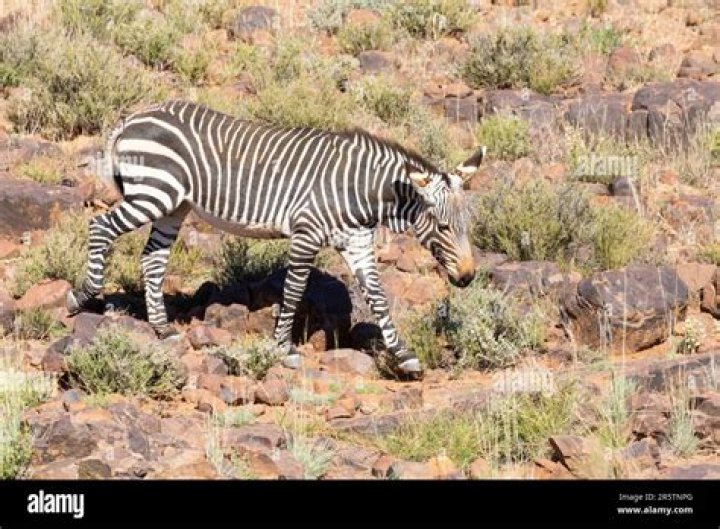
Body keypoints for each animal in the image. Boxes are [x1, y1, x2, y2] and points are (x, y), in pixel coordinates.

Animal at [67, 101, 483, 377]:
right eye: (443, 227)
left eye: (467, 225)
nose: (467, 278)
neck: (359, 190)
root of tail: (131, 118)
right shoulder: (306, 234)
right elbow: (295, 291)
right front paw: (284, 348)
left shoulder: (357, 245)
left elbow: (378, 298)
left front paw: (405, 356)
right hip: (154, 193)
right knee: (101, 228)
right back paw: (82, 296)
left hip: (173, 205)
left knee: (152, 259)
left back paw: (162, 328)